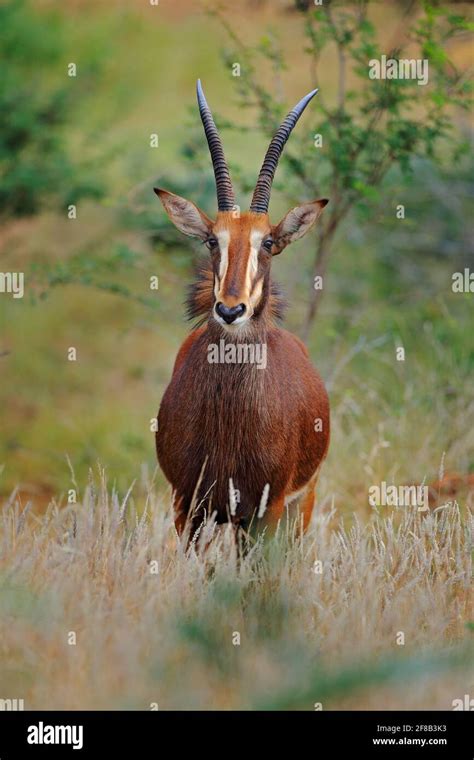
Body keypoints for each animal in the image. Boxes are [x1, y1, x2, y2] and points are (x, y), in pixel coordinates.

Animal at [156, 80, 330, 536]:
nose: (230, 310)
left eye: (267, 242)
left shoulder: (267, 509)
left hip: (296, 505)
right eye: (211, 240)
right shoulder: (187, 504)